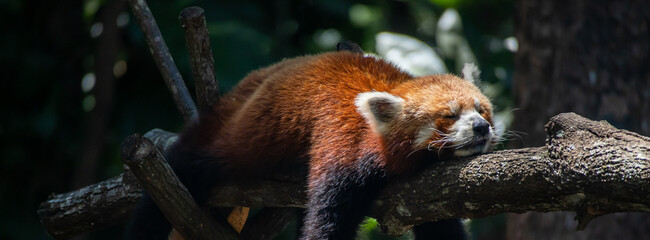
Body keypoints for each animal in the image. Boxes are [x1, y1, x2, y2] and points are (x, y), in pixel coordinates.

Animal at [128, 46, 496, 239]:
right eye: (449, 116)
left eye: (482, 110)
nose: (481, 128)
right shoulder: (342, 145)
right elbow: (328, 216)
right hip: (230, 135)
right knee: (184, 170)